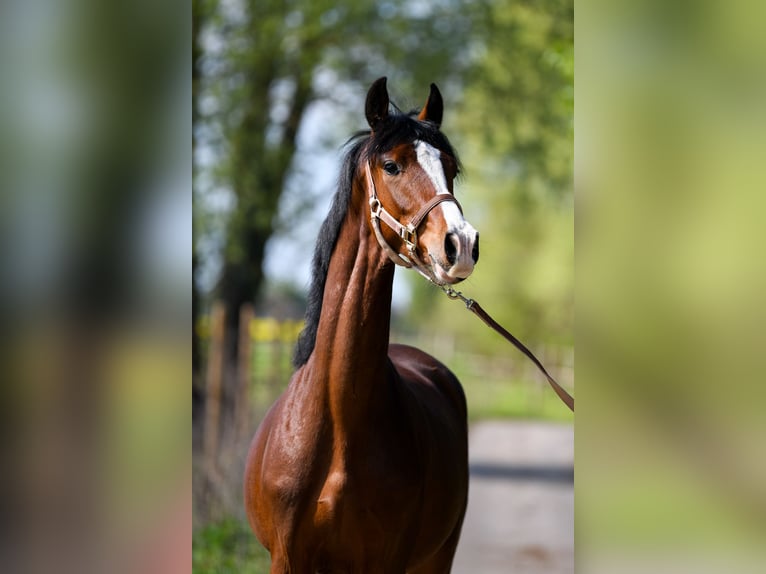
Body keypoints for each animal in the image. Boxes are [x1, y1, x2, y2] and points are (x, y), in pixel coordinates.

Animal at [246, 77, 480, 574]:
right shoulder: (286, 559)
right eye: (391, 165)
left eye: (450, 168)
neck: (340, 422)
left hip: (437, 556)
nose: (461, 245)